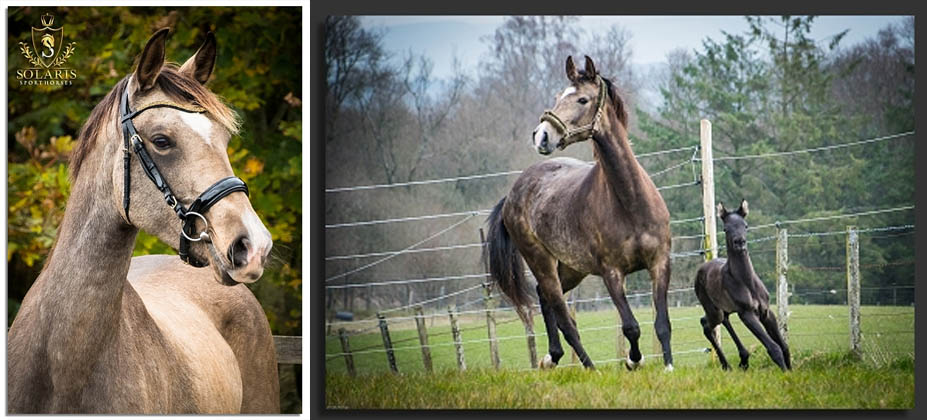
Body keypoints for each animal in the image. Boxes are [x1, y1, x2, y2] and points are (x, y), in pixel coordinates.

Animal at [696, 200, 792, 370]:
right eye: (726, 228)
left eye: (745, 225)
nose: (740, 242)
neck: (747, 282)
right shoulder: (746, 313)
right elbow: (774, 348)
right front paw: (785, 373)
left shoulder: (766, 312)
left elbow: (784, 346)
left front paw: (791, 371)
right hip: (713, 310)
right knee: (706, 325)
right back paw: (727, 365)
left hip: (724, 309)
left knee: (722, 320)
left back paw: (743, 359)